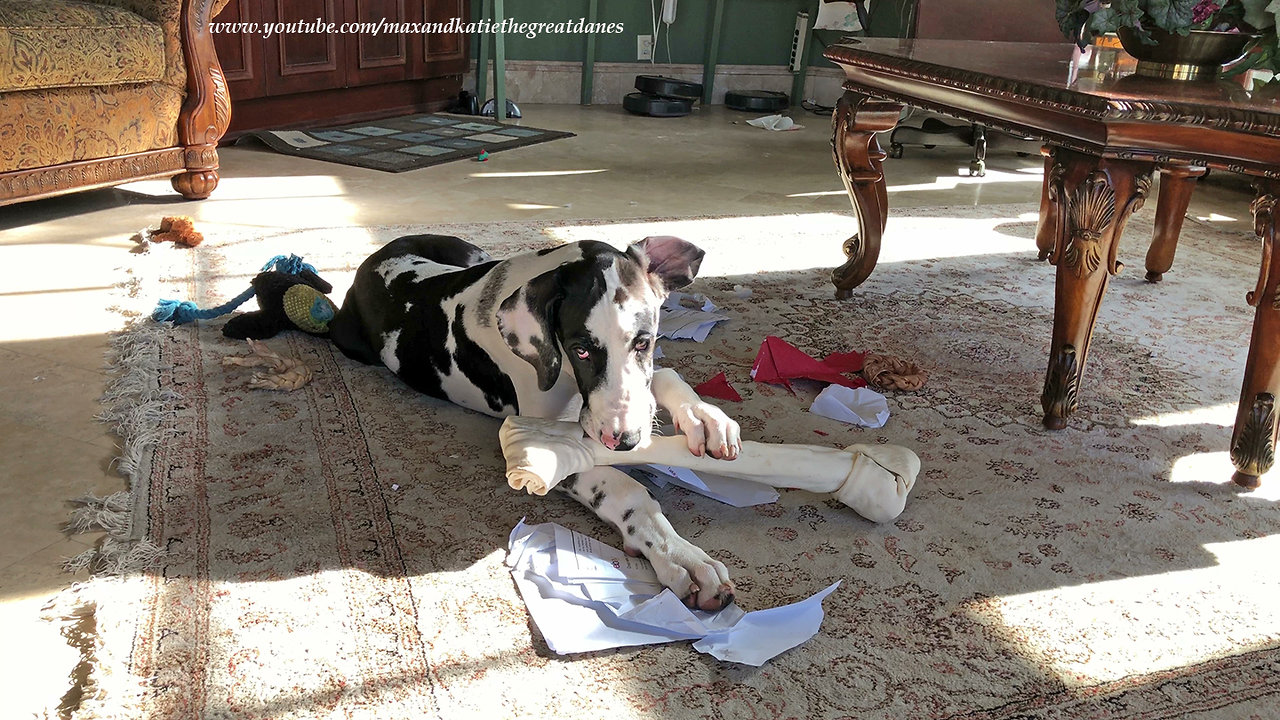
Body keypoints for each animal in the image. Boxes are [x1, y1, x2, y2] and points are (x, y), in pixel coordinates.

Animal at [330, 233, 747, 607]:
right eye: (580, 350)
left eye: (643, 341)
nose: (624, 442)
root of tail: (378, 257)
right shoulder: (540, 445)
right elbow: (627, 490)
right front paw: (680, 556)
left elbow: (664, 377)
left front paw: (704, 416)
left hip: (474, 254)